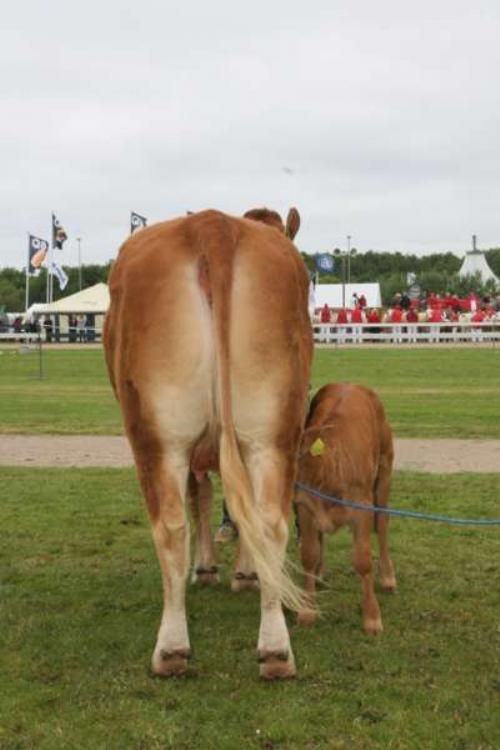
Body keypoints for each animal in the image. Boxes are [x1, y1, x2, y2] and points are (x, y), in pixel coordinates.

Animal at [103, 207, 310, 680]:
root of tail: (213, 224)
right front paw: (243, 573)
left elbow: (200, 501)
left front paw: (211, 568)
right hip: (274, 432)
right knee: (270, 522)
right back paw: (276, 650)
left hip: (156, 436)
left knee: (170, 528)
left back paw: (171, 649)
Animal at [294, 384, 396, 636]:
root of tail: (350, 384)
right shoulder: (305, 507)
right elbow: (309, 554)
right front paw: (307, 611)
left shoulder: (362, 508)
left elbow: (362, 560)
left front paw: (372, 618)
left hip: (385, 469)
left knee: (383, 523)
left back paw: (388, 577)